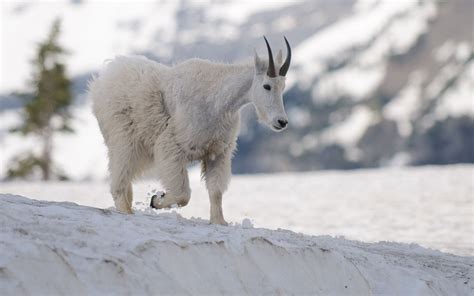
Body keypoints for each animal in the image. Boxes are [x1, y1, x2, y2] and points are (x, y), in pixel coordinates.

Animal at [88, 36, 288, 224]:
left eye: (283, 86)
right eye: (266, 85)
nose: (282, 121)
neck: (219, 101)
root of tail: (102, 78)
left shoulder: (218, 153)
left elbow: (216, 192)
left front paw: (219, 222)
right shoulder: (172, 146)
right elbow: (183, 195)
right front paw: (156, 200)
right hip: (124, 138)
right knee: (119, 180)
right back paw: (126, 211)